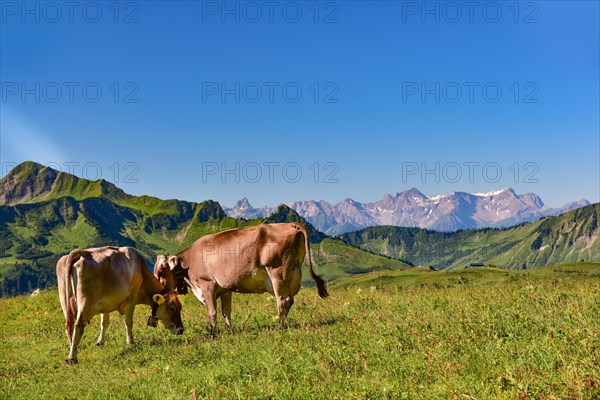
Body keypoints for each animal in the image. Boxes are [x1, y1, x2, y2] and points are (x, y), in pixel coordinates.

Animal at [56, 245, 184, 364]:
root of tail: (79, 252)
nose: (181, 329)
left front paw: (100, 342)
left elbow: (104, 323)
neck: (141, 271)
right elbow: (128, 322)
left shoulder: (105, 303)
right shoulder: (131, 299)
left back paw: (72, 347)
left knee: (69, 327)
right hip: (84, 302)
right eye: (172, 308)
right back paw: (72, 357)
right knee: (78, 326)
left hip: (64, 301)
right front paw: (130, 342)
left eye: (180, 308)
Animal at [152, 222, 326, 334]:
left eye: (161, 271)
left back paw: (279, 327)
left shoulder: (207, 285)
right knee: (289, 300)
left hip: (278, 272)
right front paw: (230, 331)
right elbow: (226, 312)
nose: (158, 292)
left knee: (282, 300)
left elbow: (212, 312)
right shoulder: (224, 289)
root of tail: (291, 224)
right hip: (294, 271)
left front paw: (213, 334)